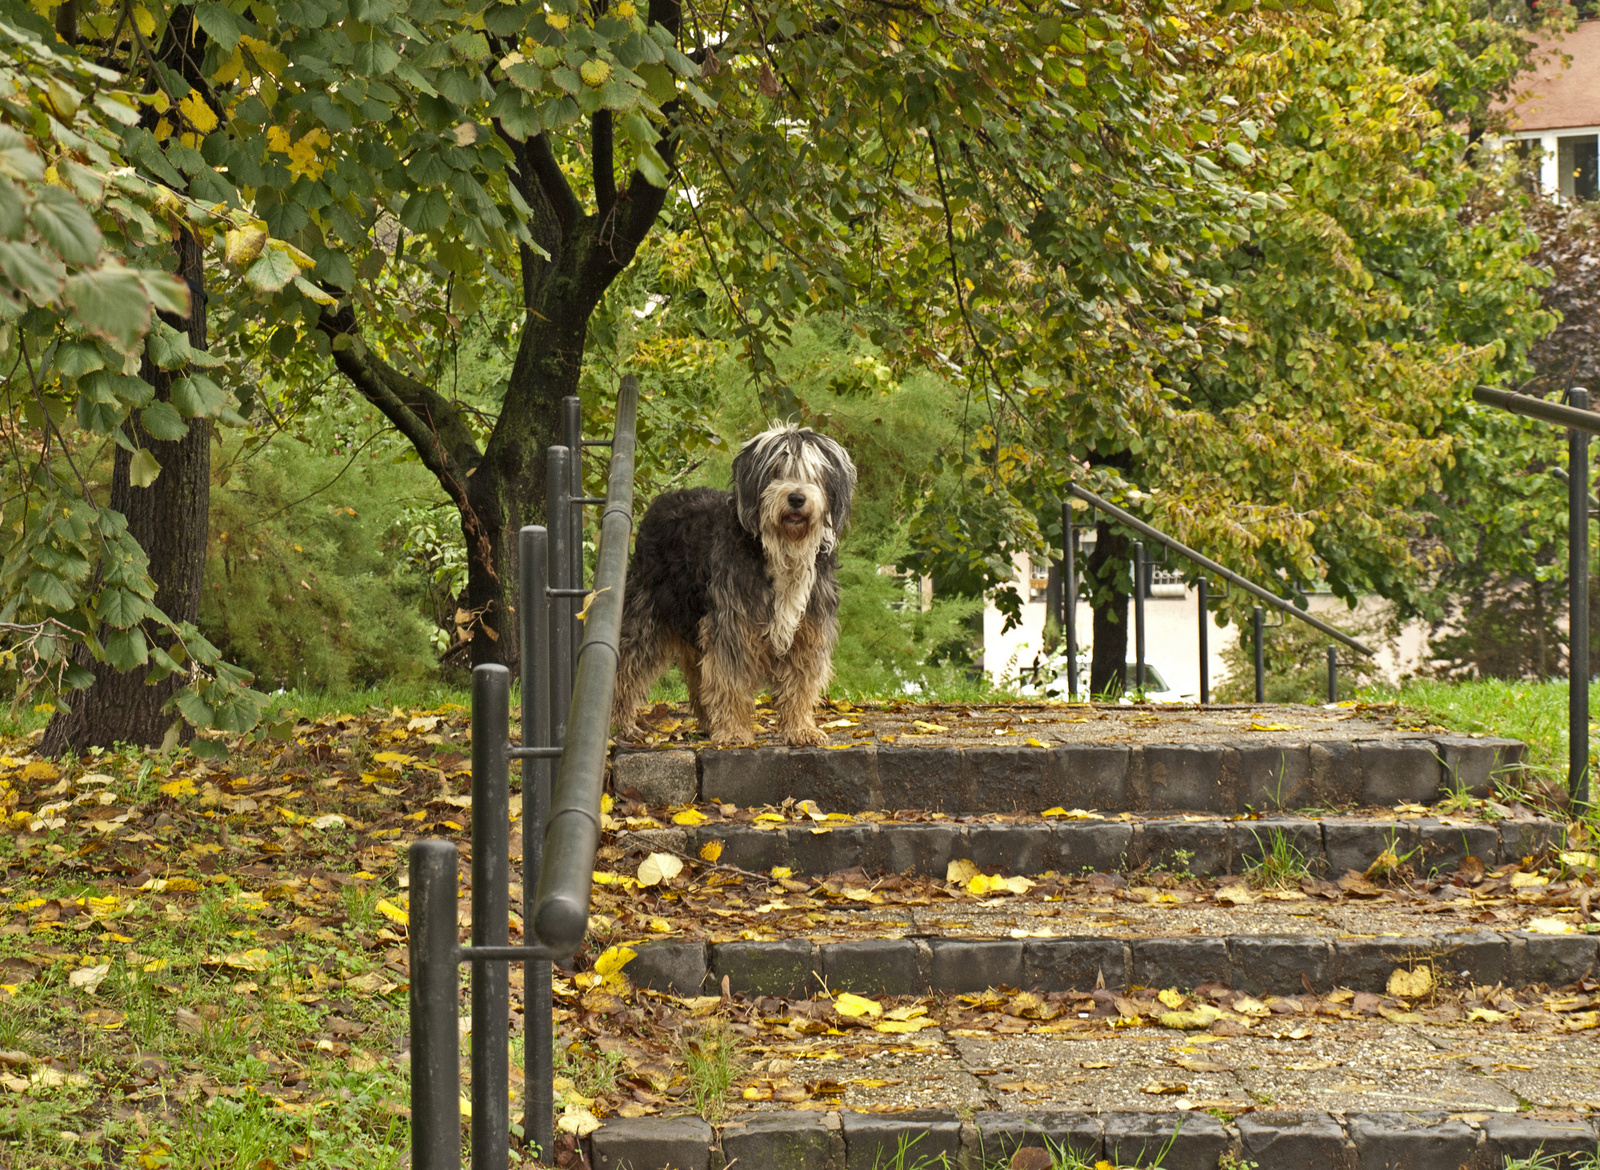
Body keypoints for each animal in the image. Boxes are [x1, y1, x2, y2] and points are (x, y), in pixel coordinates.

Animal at [611, 425, 857, 745]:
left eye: (812, 473)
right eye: (776, 471)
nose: (796, 498)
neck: (782, 550)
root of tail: (663, 500)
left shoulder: (809, 628)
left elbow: (800, 683)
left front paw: (801, 728)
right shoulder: (733, 624)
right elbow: (731, 680)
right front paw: (733, 731)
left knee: (699, 678)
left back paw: (706, 722)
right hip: (648, 612)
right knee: (626, 668)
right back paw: (622, 724)